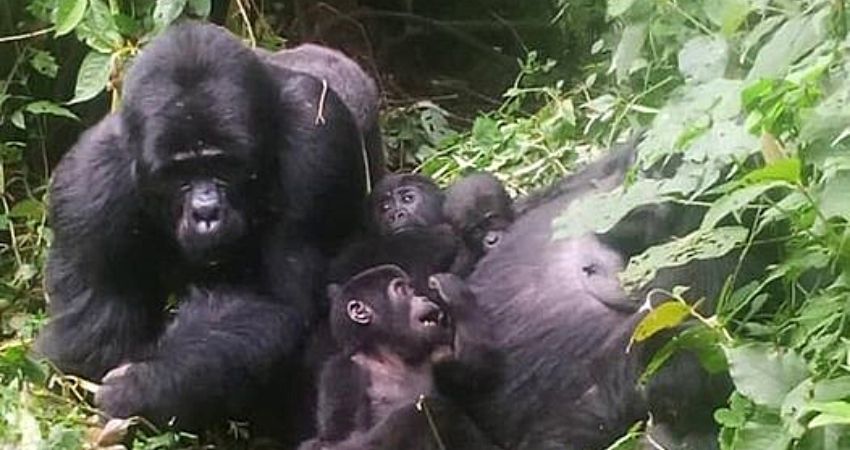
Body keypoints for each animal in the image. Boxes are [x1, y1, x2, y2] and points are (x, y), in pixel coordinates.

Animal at [39, 22, 378, 432]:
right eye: (178, 172)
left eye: (224, 165)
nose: (206, 212)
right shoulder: (88, 183)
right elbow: (90, 343)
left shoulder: (319, 142)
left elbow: (283, 299)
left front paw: (144, 385)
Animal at [298, 264, 496, 450]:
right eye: (402, 290)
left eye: (413, 291)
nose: (423, 298)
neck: (390, 353)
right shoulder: (342, 372)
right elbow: (335, 439)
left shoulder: (437, 355)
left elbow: (477, 371)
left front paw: (455, 294)